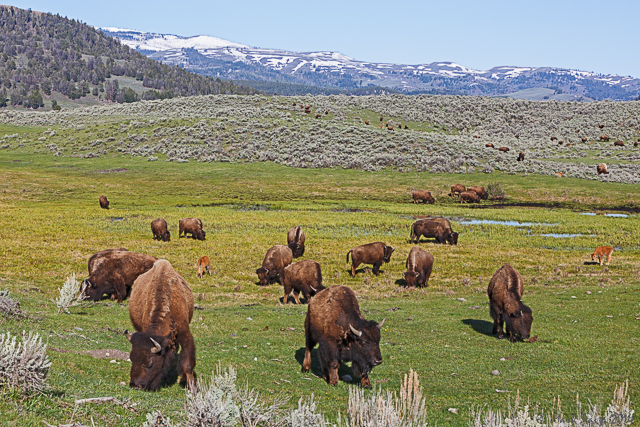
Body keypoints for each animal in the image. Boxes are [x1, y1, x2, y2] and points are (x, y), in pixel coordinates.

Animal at [126, 259, 196, 391]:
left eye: (149, 363)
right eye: (131, 358)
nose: (135, 385)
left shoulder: (185, 334)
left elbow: (187, 364)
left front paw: (193, 388)